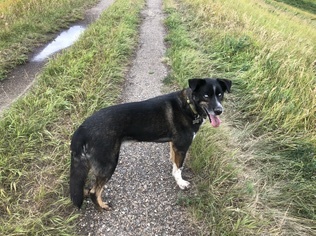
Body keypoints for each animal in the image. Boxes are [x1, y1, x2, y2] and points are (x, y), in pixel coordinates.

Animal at [69, 77, 232, 210]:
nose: (219, 110)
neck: (189, 105)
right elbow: (179, 167)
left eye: (220, 95)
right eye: (206, 96)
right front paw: (180, 182)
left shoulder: (174, 145)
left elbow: (175, 163)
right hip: (108, 164)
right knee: (94, 191)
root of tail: (82, 129)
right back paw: (102, 207)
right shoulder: (181, 146)